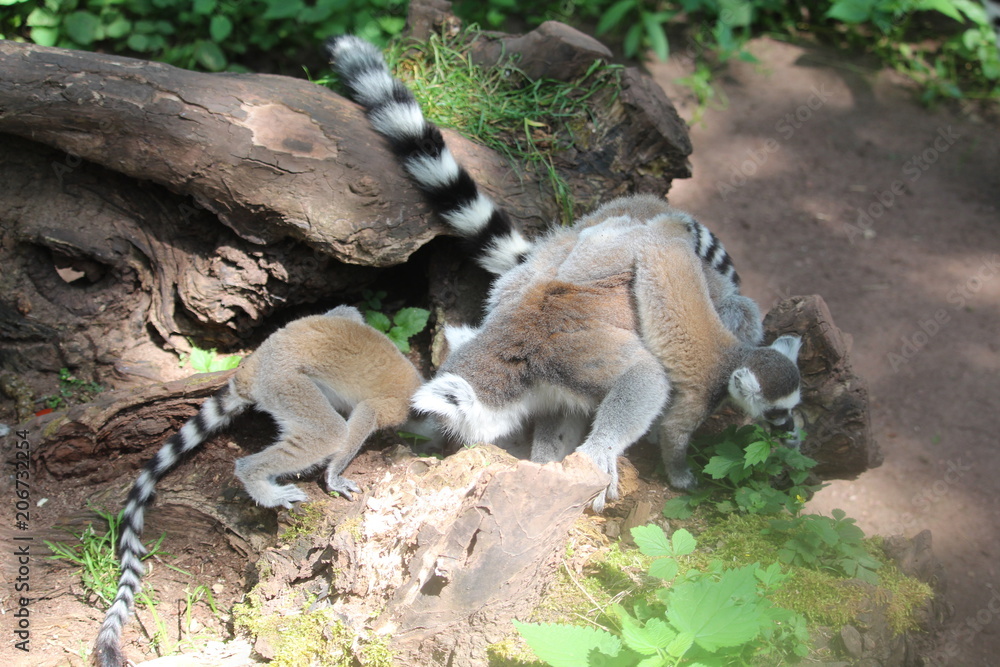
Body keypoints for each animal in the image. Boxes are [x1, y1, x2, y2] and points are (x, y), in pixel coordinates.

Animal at [94, 305, 424, 667]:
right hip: (284, 383)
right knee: (327, 432)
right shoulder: (390, 405)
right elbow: (362, 417)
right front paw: (335, 477)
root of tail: (253, 365)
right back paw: (263, 486)